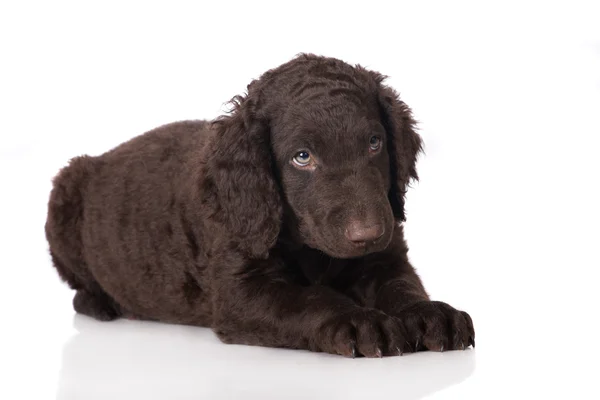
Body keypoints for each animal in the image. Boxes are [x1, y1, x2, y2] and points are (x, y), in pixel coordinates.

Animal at [45, 54, 474, 358]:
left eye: (374, 142)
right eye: (302, 156)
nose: (367, 234)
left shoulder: (385, 258)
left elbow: (402, 285)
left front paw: (431, 313)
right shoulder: (240, 292)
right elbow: (310, 298)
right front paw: (359, 320)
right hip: (63, 195)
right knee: (79, 291)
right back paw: (106, 305)